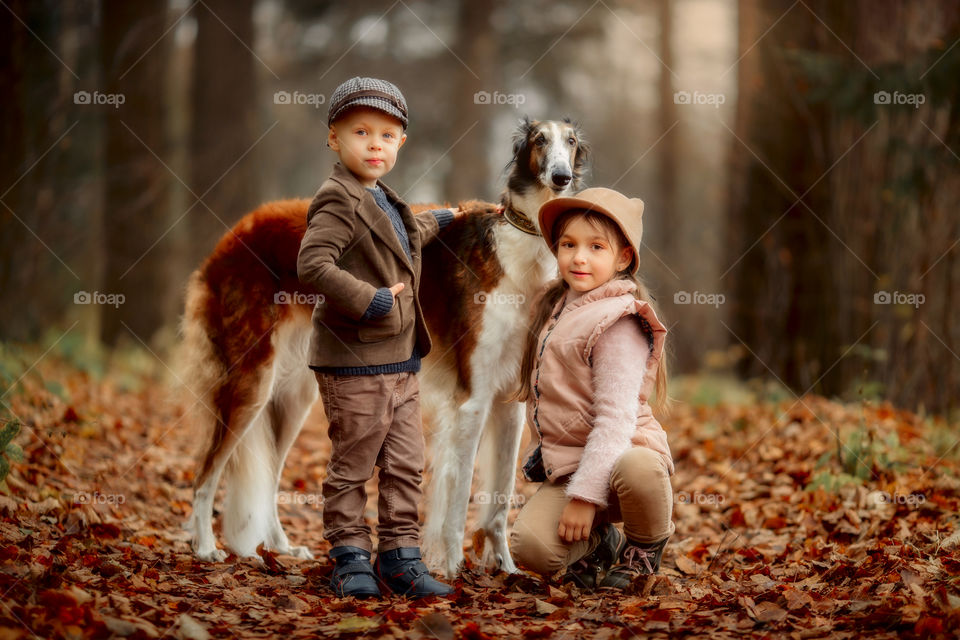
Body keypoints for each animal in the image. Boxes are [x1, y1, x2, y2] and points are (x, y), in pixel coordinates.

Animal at [178, 117, 584, 576]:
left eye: (571, 142)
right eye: (539, 141)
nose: (561, 177)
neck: (518, 247)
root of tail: (232, 234)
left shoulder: (509, 400)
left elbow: (499, 501)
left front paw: (508, 570)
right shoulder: (473, 399)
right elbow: (459, 497)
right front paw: (451, 568)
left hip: (291, 396)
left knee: (267, 474)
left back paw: (280, 547)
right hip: (250, 381)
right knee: (205, 473)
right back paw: (204, 546)